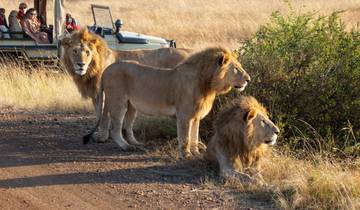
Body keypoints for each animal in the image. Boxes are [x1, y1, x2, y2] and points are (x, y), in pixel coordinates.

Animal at [84, 46, 252, 158]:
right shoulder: (184, 114)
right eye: (236, 68)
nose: (249, 79)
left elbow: (194, 135)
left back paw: (135, 143)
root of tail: (106, 70)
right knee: (116, 128)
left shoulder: (196, 115)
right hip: (118, 101)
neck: (208, 85)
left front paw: (196, 153)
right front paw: (186, 155)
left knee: (127, 125)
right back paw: (126, 147)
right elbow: (185, 136)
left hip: (131, 106)